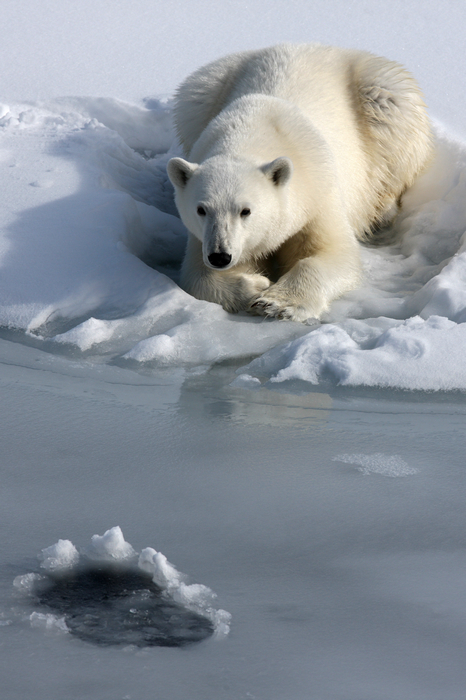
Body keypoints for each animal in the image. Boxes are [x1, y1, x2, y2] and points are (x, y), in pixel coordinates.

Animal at [166, 41, 432, 320]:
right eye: (201, 209)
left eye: (246, 210)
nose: (220, 256)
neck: (254, 131)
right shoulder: (200, 235)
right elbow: (195, 275)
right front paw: (253, 286)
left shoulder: (317, 191)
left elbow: (334, 252)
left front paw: (277, 302)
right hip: (207, 89)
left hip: (380, 93)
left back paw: (383, 211)